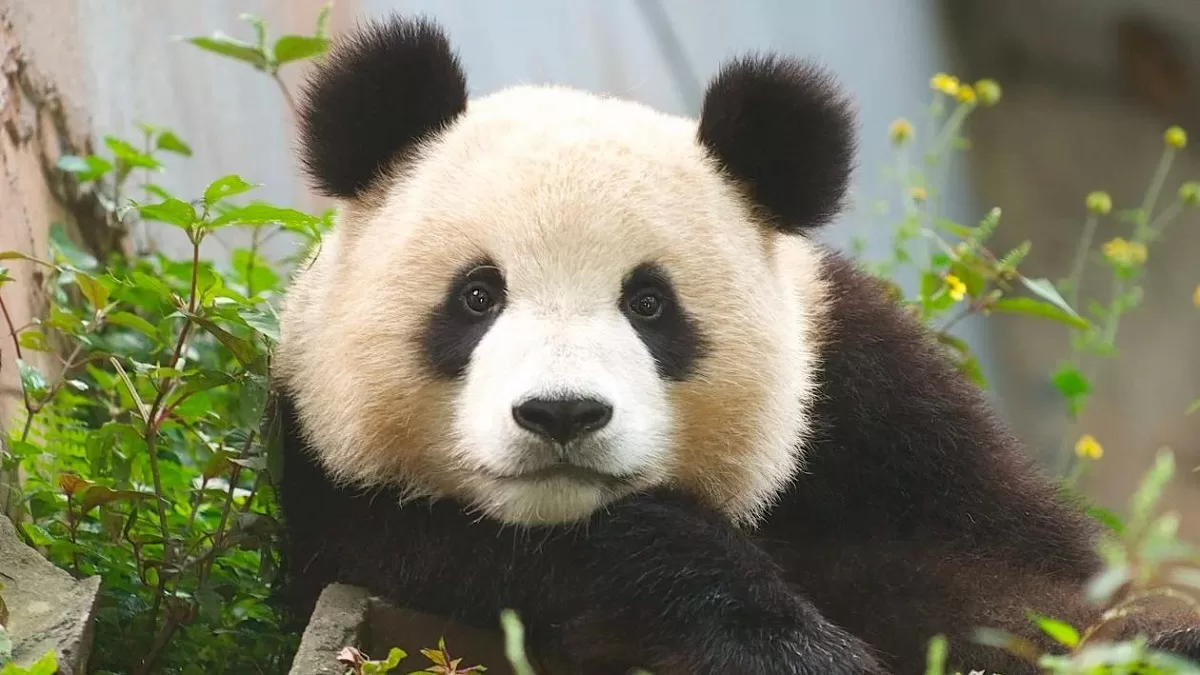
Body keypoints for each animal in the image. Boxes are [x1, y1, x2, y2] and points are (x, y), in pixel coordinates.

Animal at [270, 14, 1200, 675]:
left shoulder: (882, 411)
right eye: (477, 295)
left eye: (649, 303)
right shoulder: (346, 504)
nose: (563, 414)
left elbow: (1024, 580)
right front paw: (781, 640)